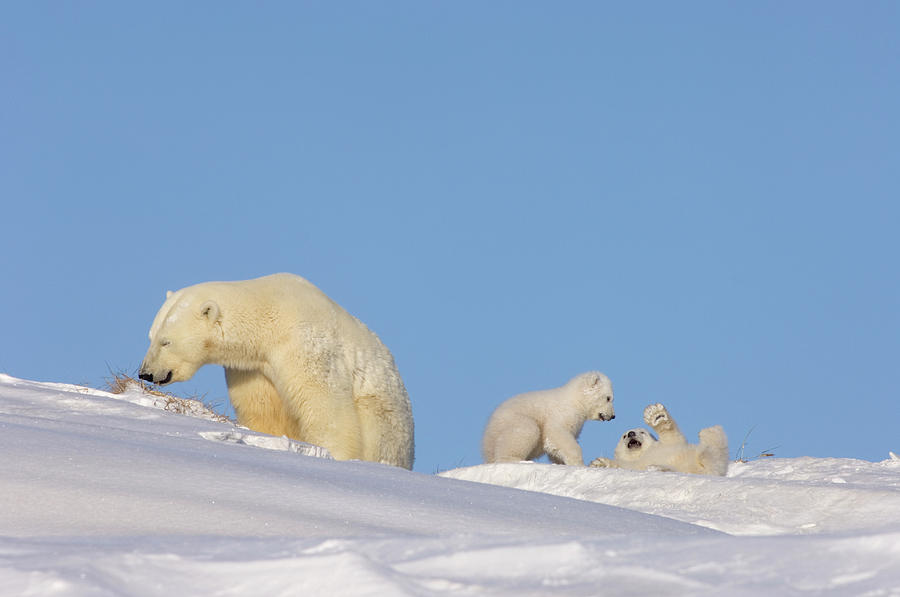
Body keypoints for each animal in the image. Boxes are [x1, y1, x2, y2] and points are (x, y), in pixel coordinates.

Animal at [138, 272, 414, 468]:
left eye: (166, 341)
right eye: (150, 337)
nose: (145, 373)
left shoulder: (303, 344)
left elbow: (326, 404)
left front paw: (333, 453)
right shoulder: (252, 368)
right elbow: (263, 411)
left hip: (382, 419)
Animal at [482, 372, 616, 466]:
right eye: (608, 398)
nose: (613, 416)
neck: (575, 400)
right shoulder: (562, 413)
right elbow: (557, 433)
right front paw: (578, 463)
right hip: (512, 422)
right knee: (526, 430)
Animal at [592, 400, 732, 474]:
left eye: (642, 432)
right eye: (624, 435)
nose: (631, 433)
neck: (642, 455)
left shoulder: (667, 446)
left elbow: (672, 437)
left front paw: (656, 416)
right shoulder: (632, 465)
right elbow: (622, 465)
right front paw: (599, 463)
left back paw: (708, 433)